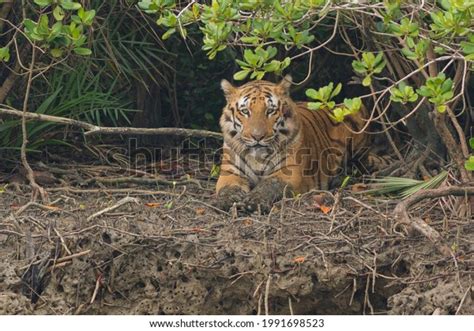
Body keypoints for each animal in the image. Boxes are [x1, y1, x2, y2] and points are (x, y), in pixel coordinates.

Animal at [218, 75, 378, 211]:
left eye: (270, 111)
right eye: (245, 111)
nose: (257, 136)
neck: (258, 158)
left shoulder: (290, 173)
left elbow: (270, 184)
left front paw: (253, 201)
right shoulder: (229, 173)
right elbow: (227, 188)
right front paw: (226, 200)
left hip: (356, 112)